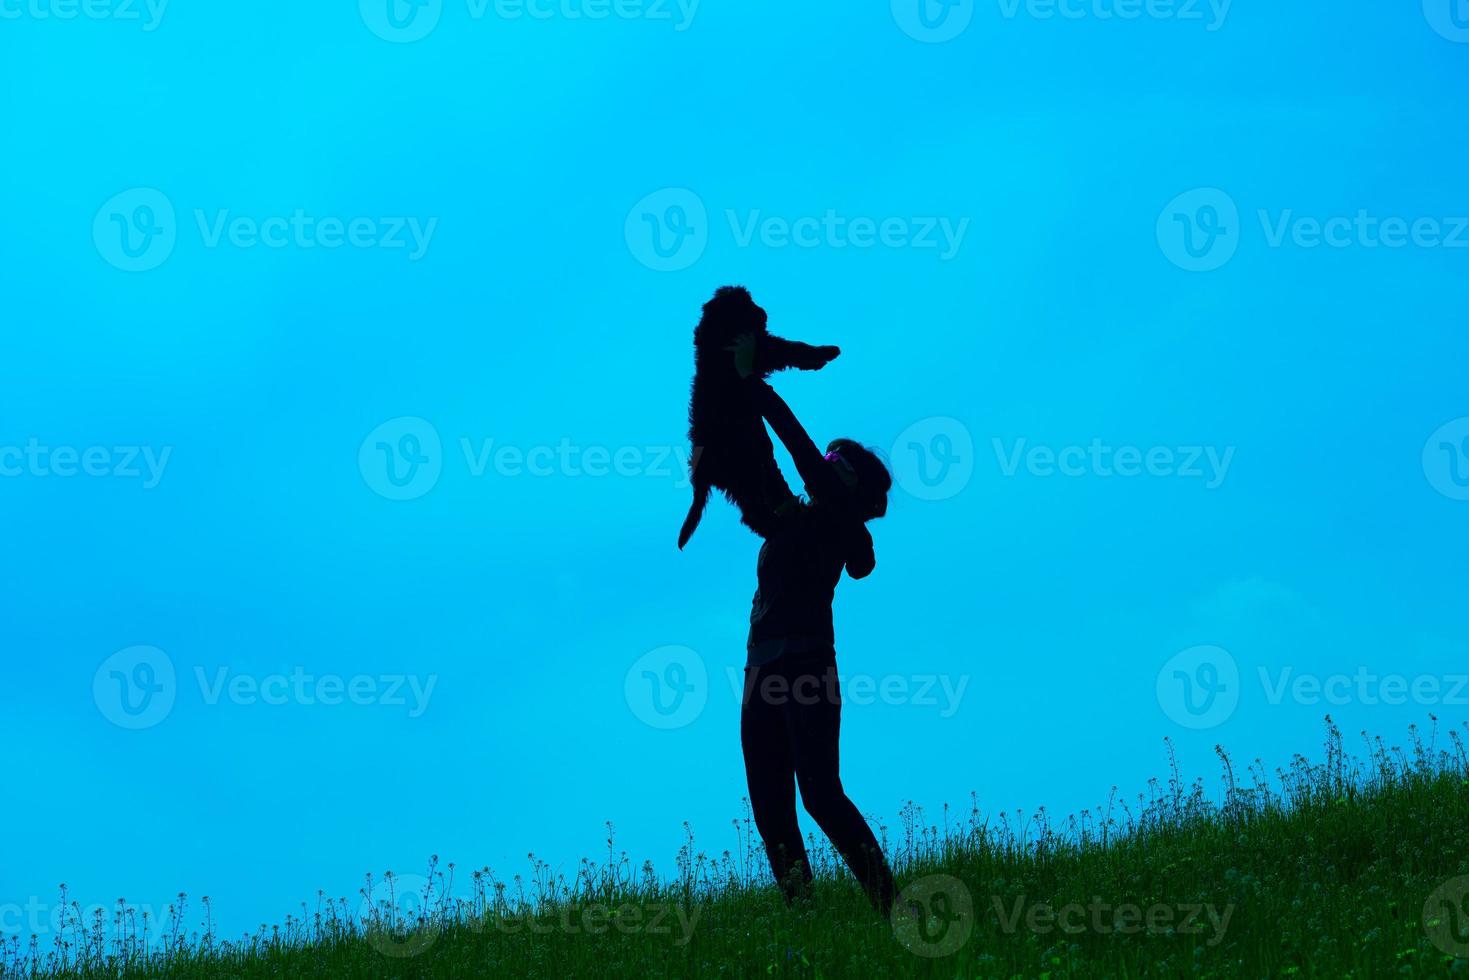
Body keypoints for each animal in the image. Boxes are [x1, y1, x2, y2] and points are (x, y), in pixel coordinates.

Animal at [675, 285, 840, 552]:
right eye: (746, 304)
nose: (763, 312)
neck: (720, 331)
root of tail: (701, 472)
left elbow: (786, 347)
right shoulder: (759, 348)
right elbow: (789, 347)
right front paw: (825, 352)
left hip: (744, 475)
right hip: (745, 469)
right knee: (752, 512)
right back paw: (777, 526)